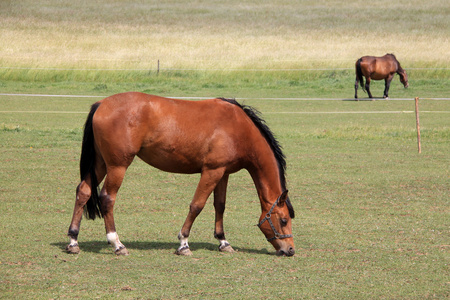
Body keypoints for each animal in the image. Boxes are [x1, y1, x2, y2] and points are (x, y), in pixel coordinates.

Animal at [64, 92, 296, 256]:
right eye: (284, 220)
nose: (290, 249)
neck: (238, 126)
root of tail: (101, 104)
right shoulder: (211, 172)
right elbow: (197, 206)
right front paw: (184, 243)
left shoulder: (223, 173)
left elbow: (219, 205)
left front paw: (223, 242)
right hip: (117, 166)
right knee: (107, 199)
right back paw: (117, 244)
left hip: (101, 164)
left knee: (83, 191)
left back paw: (73, 240)